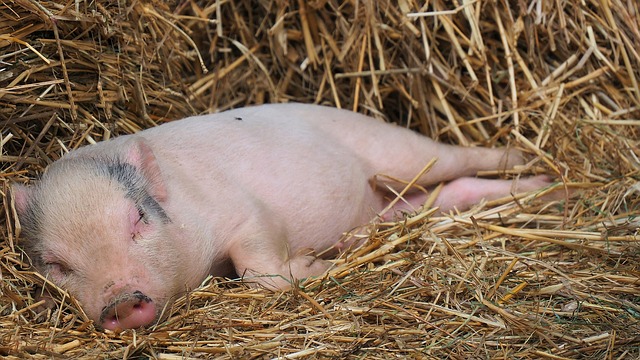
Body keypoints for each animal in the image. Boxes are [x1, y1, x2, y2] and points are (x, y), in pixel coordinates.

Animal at [12, 102, 548, 330]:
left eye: (139, 219)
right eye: (56, 265)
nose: (121, 301)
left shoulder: (247, 214)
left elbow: (257, 268)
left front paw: (318, 265)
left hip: (397, 149)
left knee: (456, 158)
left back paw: (532, 167)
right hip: (401, 202)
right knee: (448, 192)